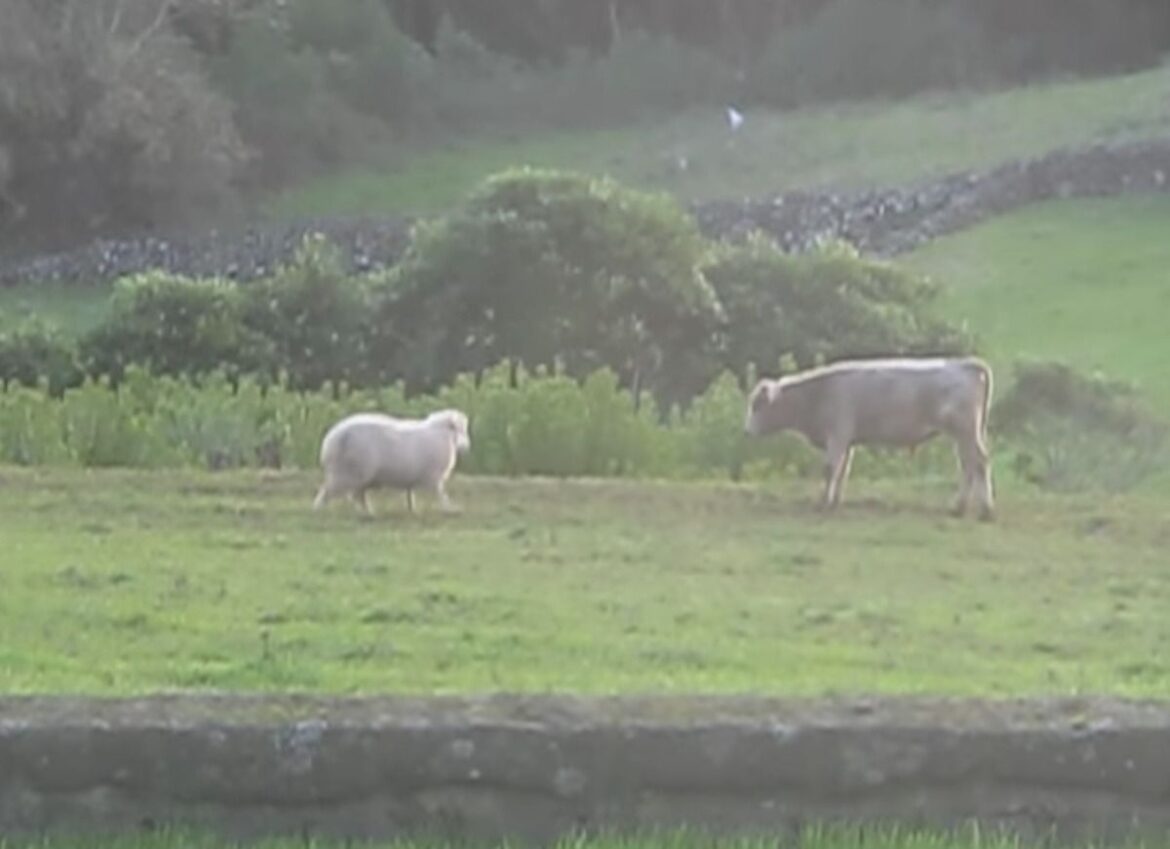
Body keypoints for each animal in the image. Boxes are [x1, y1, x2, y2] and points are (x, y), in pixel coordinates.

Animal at [315, 409, 475, 514]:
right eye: (456, 428)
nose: (466, 447)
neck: (443, 435)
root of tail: (332, 440)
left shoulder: (412, 476)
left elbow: (410, 493)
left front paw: (412, 509)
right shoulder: (434, 477)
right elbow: (440, 494)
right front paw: (450, 509)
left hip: (357, 475)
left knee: (357, 495)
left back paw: (369, 513)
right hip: (351, 472)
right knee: (329, 492)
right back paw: (318, 510)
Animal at [744, 357, 992, 519]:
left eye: (758, 405)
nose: (746, 431)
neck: (818, 393)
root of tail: (963, 364)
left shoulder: (837, 436)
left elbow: (830, 469)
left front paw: (824, 503)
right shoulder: (847, 442)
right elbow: (842, 471)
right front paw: (835, 502)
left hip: (965, 432)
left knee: (978, 463)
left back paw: (985, 511)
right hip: (963, 436)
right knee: (968, 465)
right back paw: (959, 508)